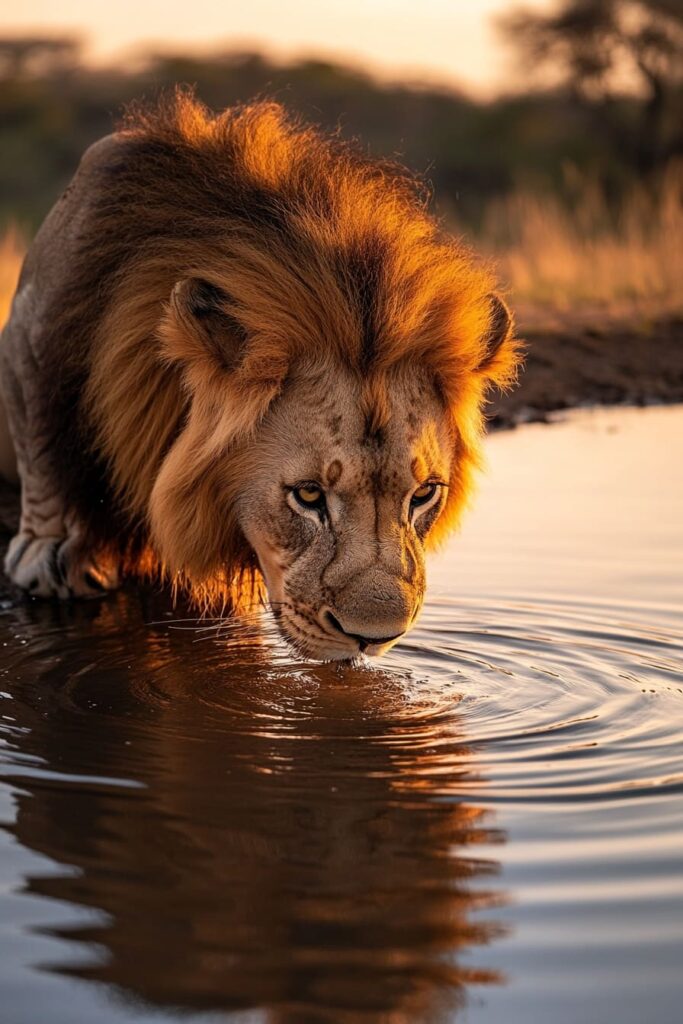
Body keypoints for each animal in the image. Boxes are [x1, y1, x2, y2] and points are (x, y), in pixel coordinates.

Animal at [0, 92, 518, 659]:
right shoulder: (27, 332)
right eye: (308, 496)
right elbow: (38, 437)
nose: (375, 638)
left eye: (423, 494)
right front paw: (48, 554)